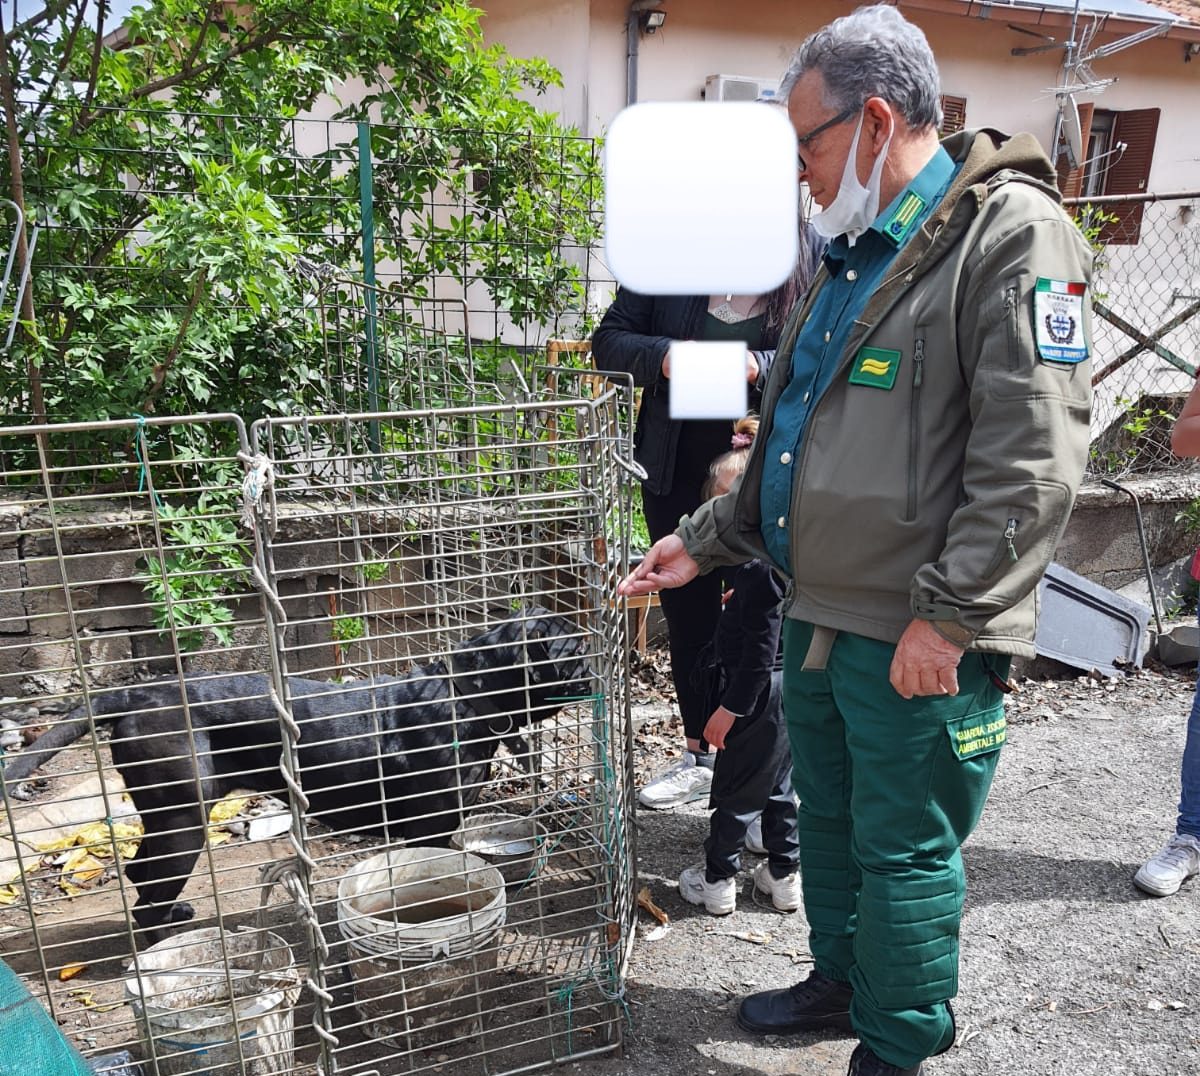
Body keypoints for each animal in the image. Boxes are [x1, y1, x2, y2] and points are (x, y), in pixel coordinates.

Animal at [1, 609, 590, 935]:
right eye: (575, 646)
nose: (600, 651)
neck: (467, 696)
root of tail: (134, 693)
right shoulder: (434, 828)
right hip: (183, 817)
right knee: (146, 881)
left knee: (142, 878)